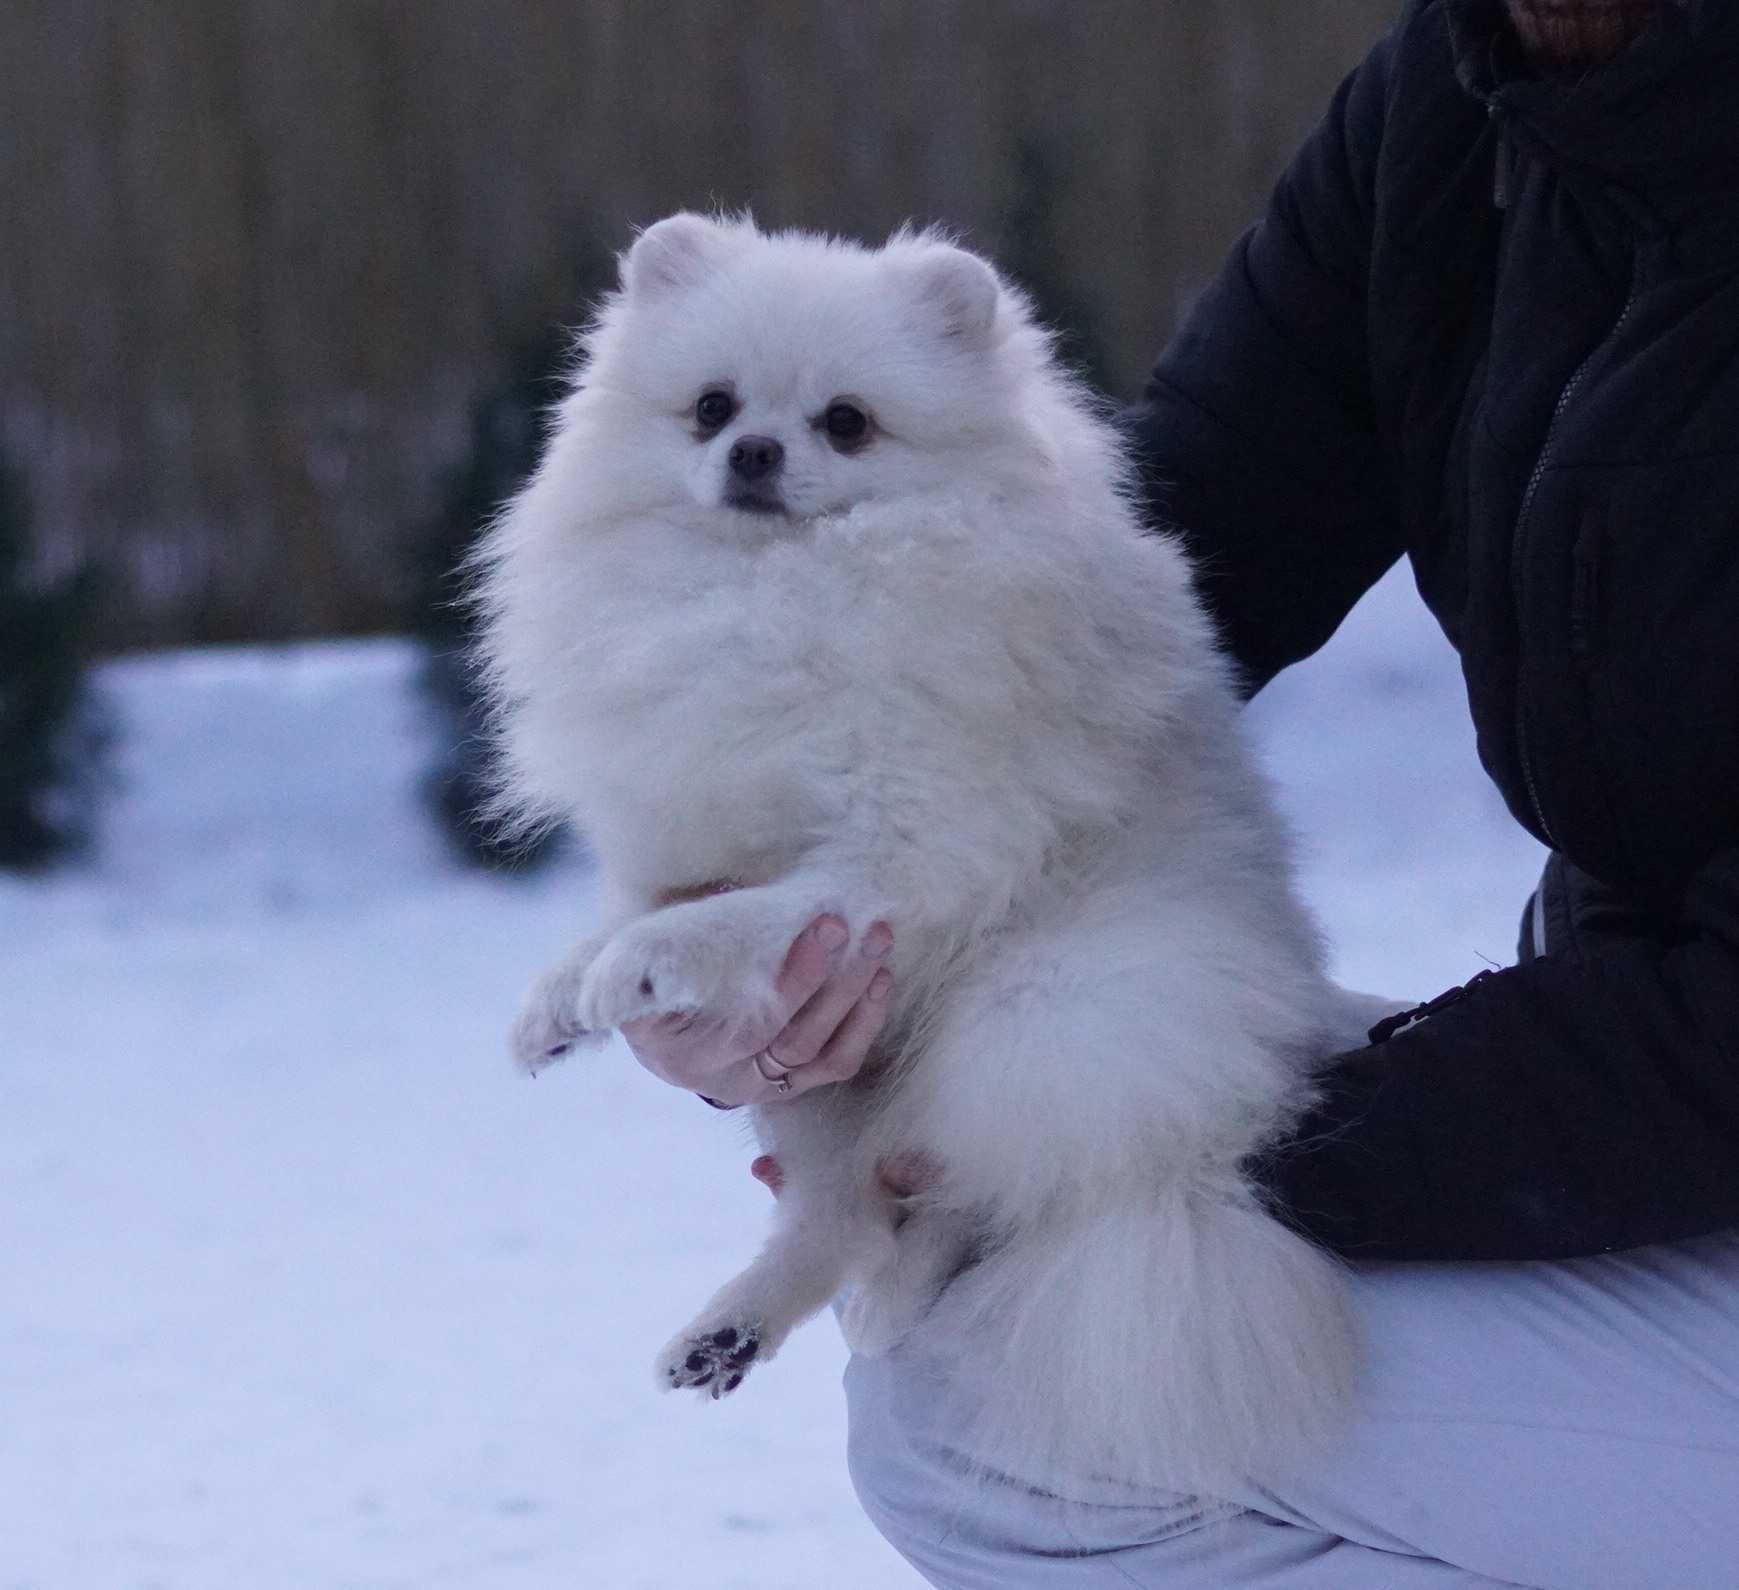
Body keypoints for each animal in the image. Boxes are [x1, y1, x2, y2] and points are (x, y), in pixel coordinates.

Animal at [476, 207, 1370, 1489]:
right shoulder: (692, 829)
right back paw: (731, 1329)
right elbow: (638, 902)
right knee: (842, 1212)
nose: (753, 451)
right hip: (849, 1087)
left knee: (981, 1185)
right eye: (710, 407)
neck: (769, 591)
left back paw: (904, 1288)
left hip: (1047, 1013)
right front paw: (560, 993)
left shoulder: (900, 848)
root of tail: (1204, 1144)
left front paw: (645, 965)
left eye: (845, 422)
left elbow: (740, 915)